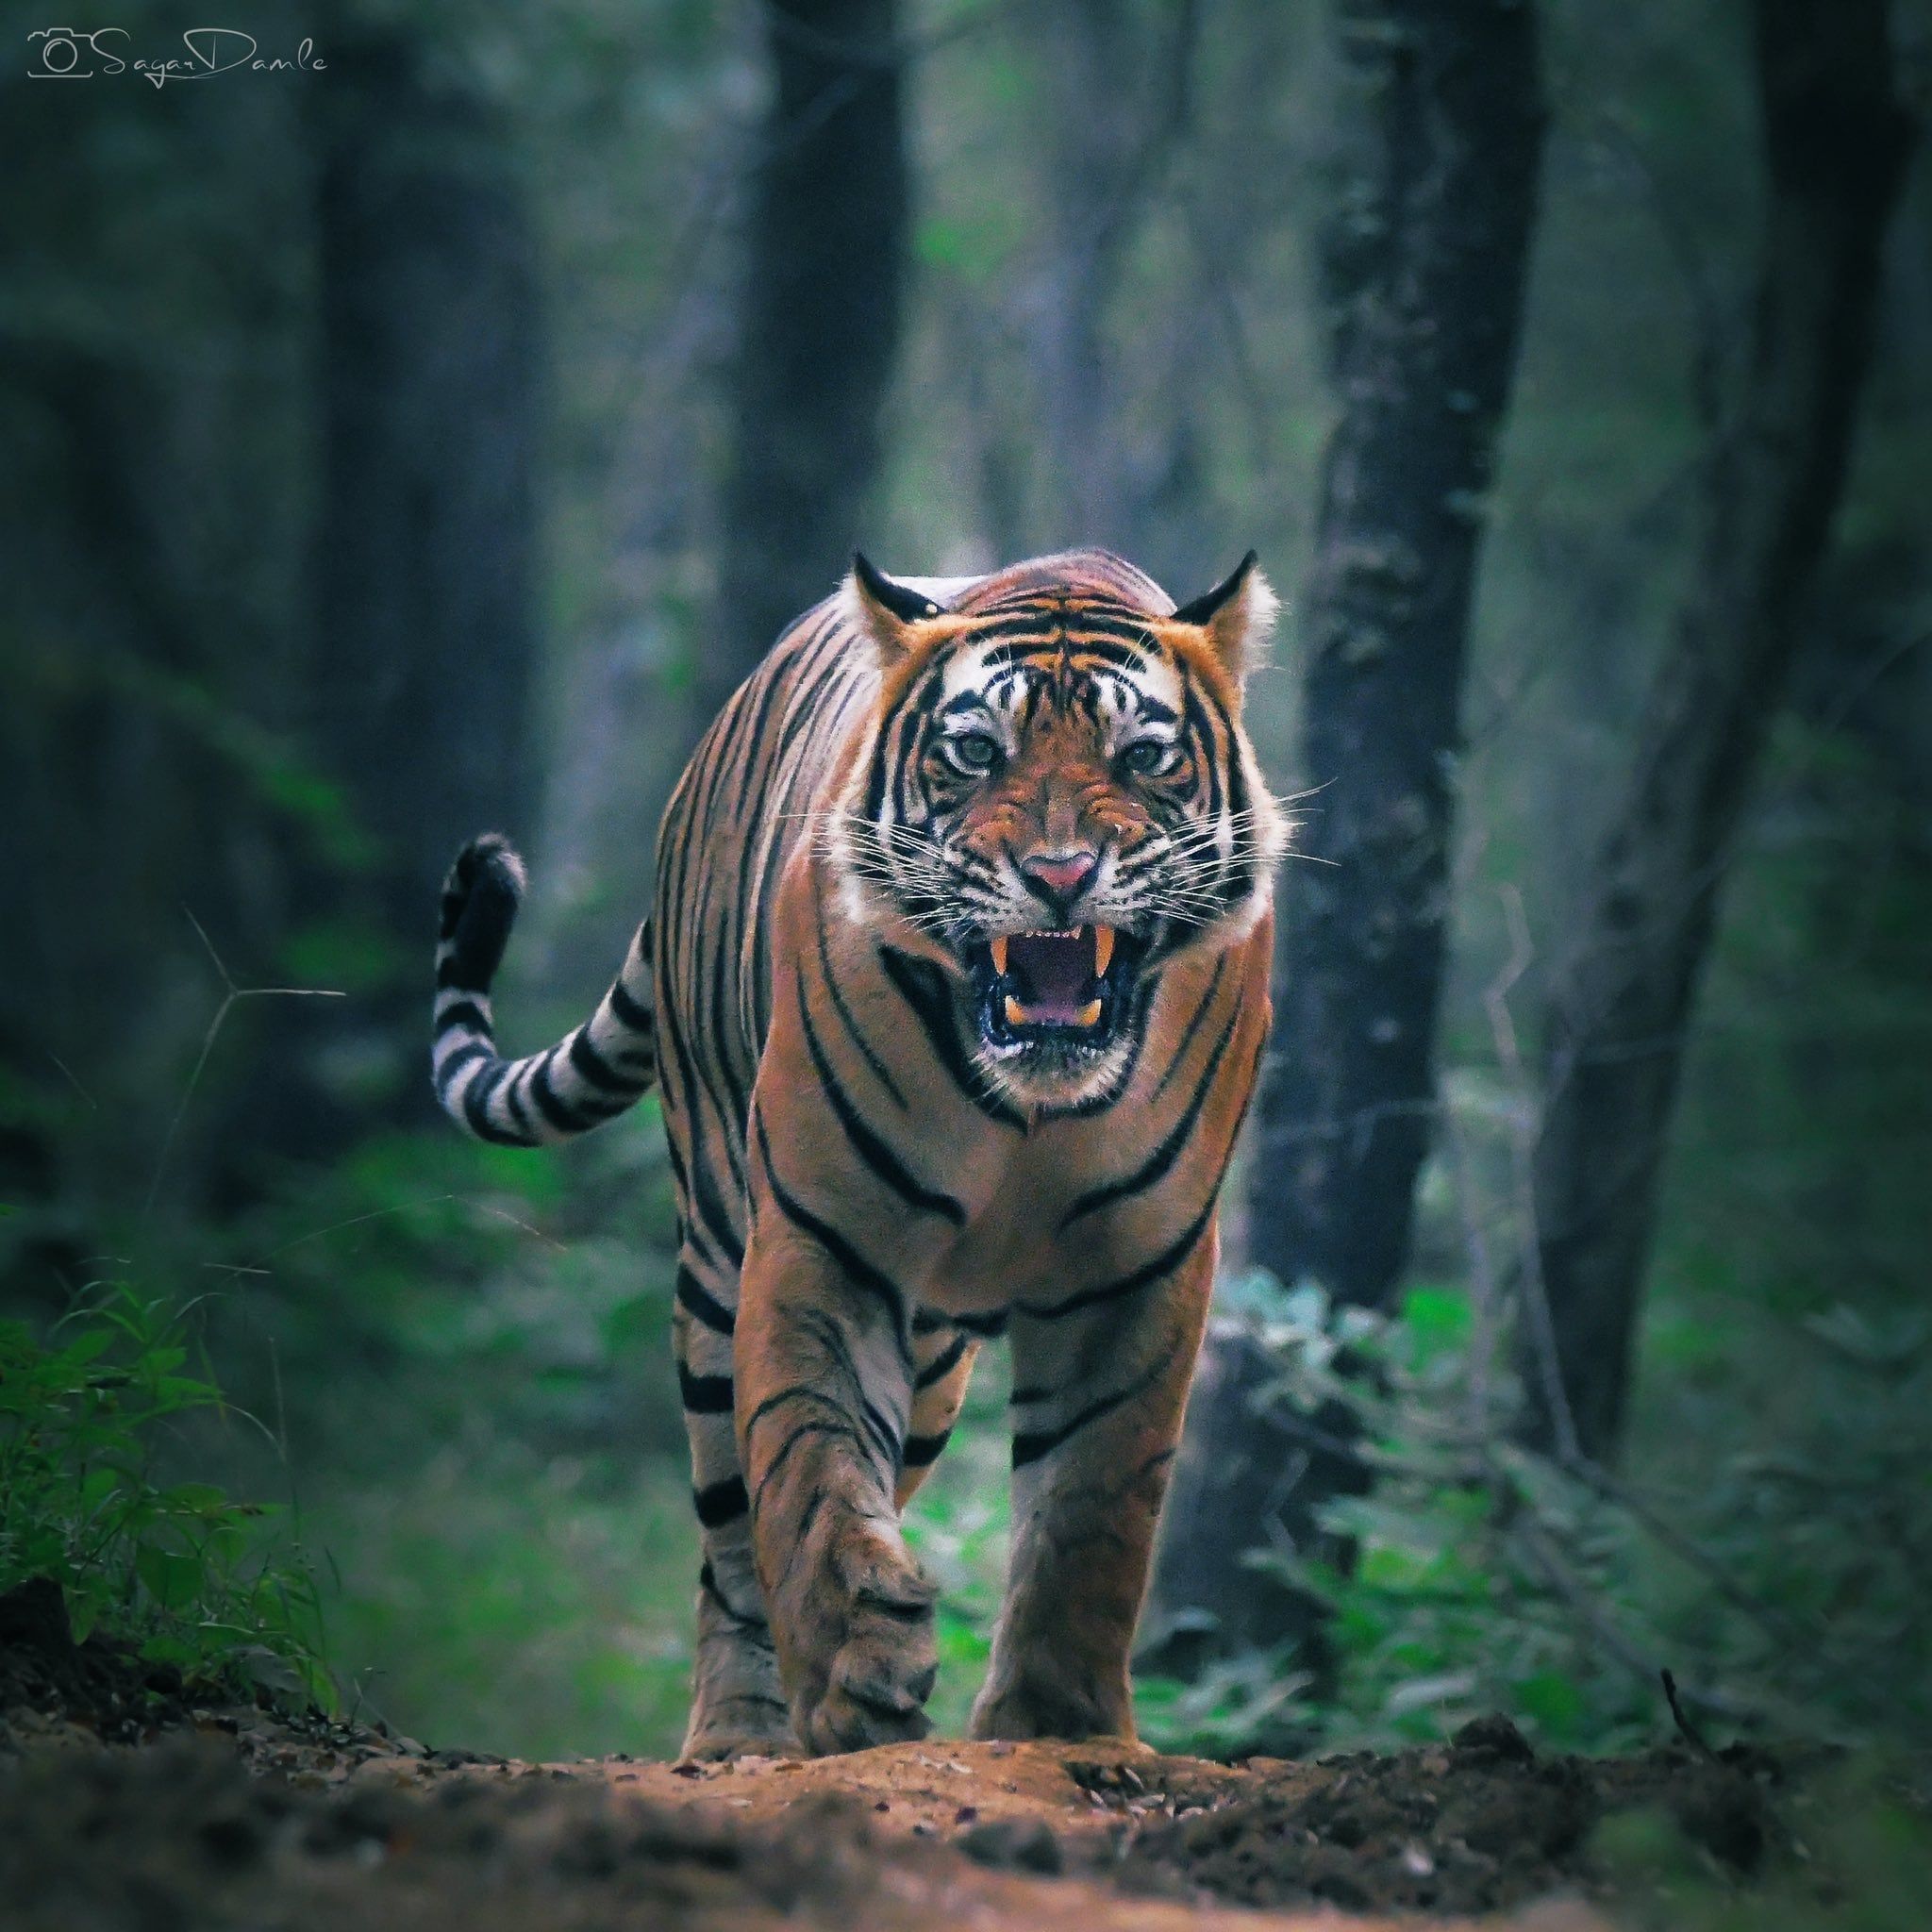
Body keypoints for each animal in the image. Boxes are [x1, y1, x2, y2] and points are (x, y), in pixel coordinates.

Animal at [430, 547, 1287, 1759]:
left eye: (1142, 755)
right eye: (974, 752)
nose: (1060, 874)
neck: (1028, 1112)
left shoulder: (1143, 1266)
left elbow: (1093, 1503)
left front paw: (1060, 1726)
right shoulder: (822, 1233)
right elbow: (809, 1457)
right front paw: (854, 1665)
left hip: (931, 1362)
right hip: (713, 1258)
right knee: (727, 1533)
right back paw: (738, 1736)